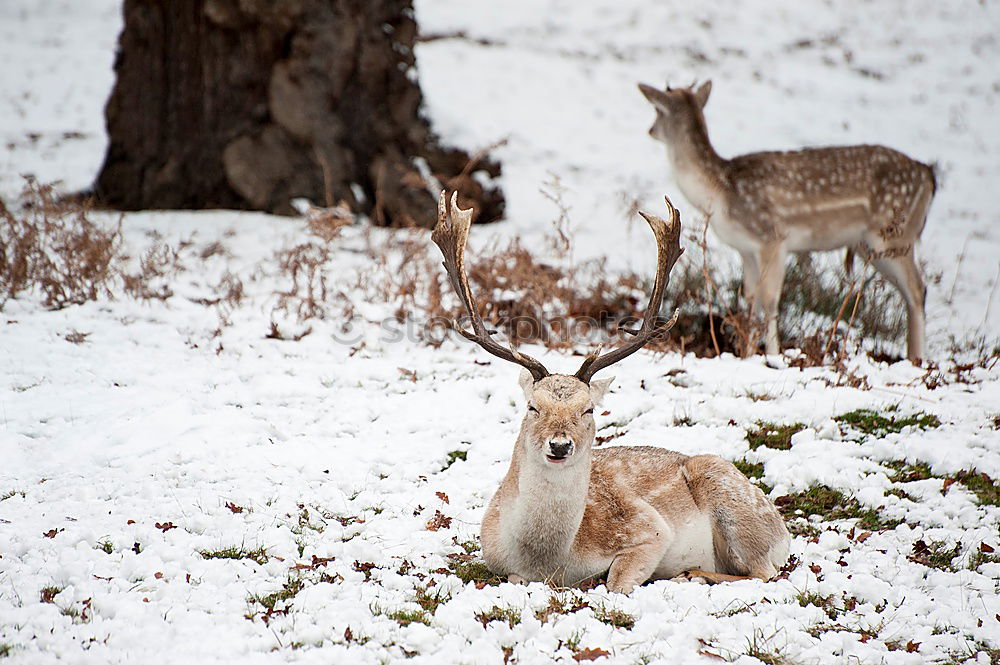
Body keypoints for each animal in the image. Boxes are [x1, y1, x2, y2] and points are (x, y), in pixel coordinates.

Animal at [430, 192, 788, 592]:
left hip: (733, 499)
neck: (547, 561)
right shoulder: (497, 560)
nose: (559, 445)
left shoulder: (650, 529)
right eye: (532, 407)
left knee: (764, 572)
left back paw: (693, 574)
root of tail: (783, 531)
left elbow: (617, 580)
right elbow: (513, 577)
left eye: (588, 409)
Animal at [640, 82, 936, 364]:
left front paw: (772, 355)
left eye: (657, 109)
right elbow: (751, 299)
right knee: (911, 292)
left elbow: (770, 300)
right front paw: (747, 353)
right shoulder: (745, 249)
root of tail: (928, 175)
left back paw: (918, 360)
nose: (650, 130)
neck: (720, 193)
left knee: (917, 289)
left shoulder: (772, 237)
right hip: (868, 246)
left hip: (894, 234)